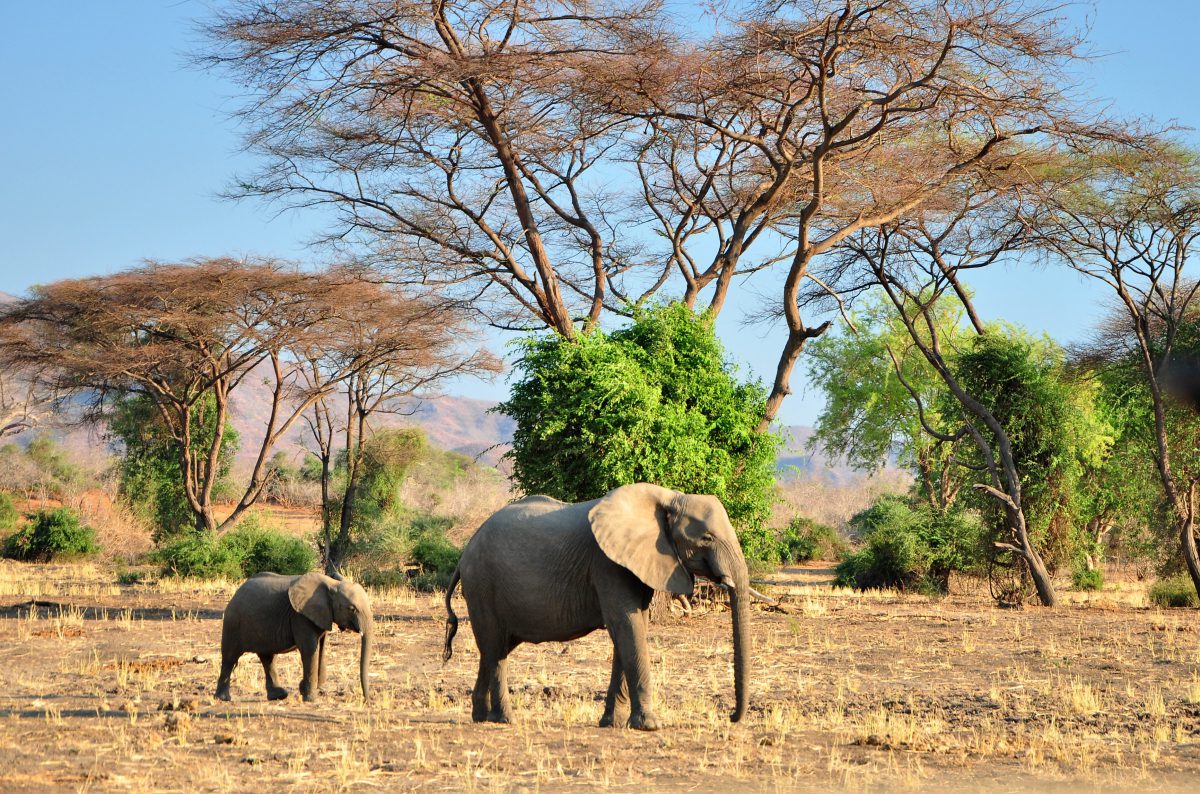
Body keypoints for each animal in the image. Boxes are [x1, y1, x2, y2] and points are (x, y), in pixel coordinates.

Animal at [216, 573, 372, 705]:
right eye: (352, 609)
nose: (366, 700)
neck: (332, 584)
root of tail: (236, 593)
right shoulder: (300, 617)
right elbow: (310, 650)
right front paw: (310, 699)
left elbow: (320, 647)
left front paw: (305, 688)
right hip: (233, 623)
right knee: (230, 658)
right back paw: (223, 698)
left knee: (268, 659)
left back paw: (279, 696)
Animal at [446, 482, 744, 729]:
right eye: (707, 538)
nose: (730, 717)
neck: (668, 497)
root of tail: (464, 555)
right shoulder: (607, 564)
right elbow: (627, 626)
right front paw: (649, 726)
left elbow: (633, 628)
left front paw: (613, 723)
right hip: (482, 585)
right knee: (495, 647)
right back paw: (504, 719)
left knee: (492, 647)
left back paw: (480, 716)